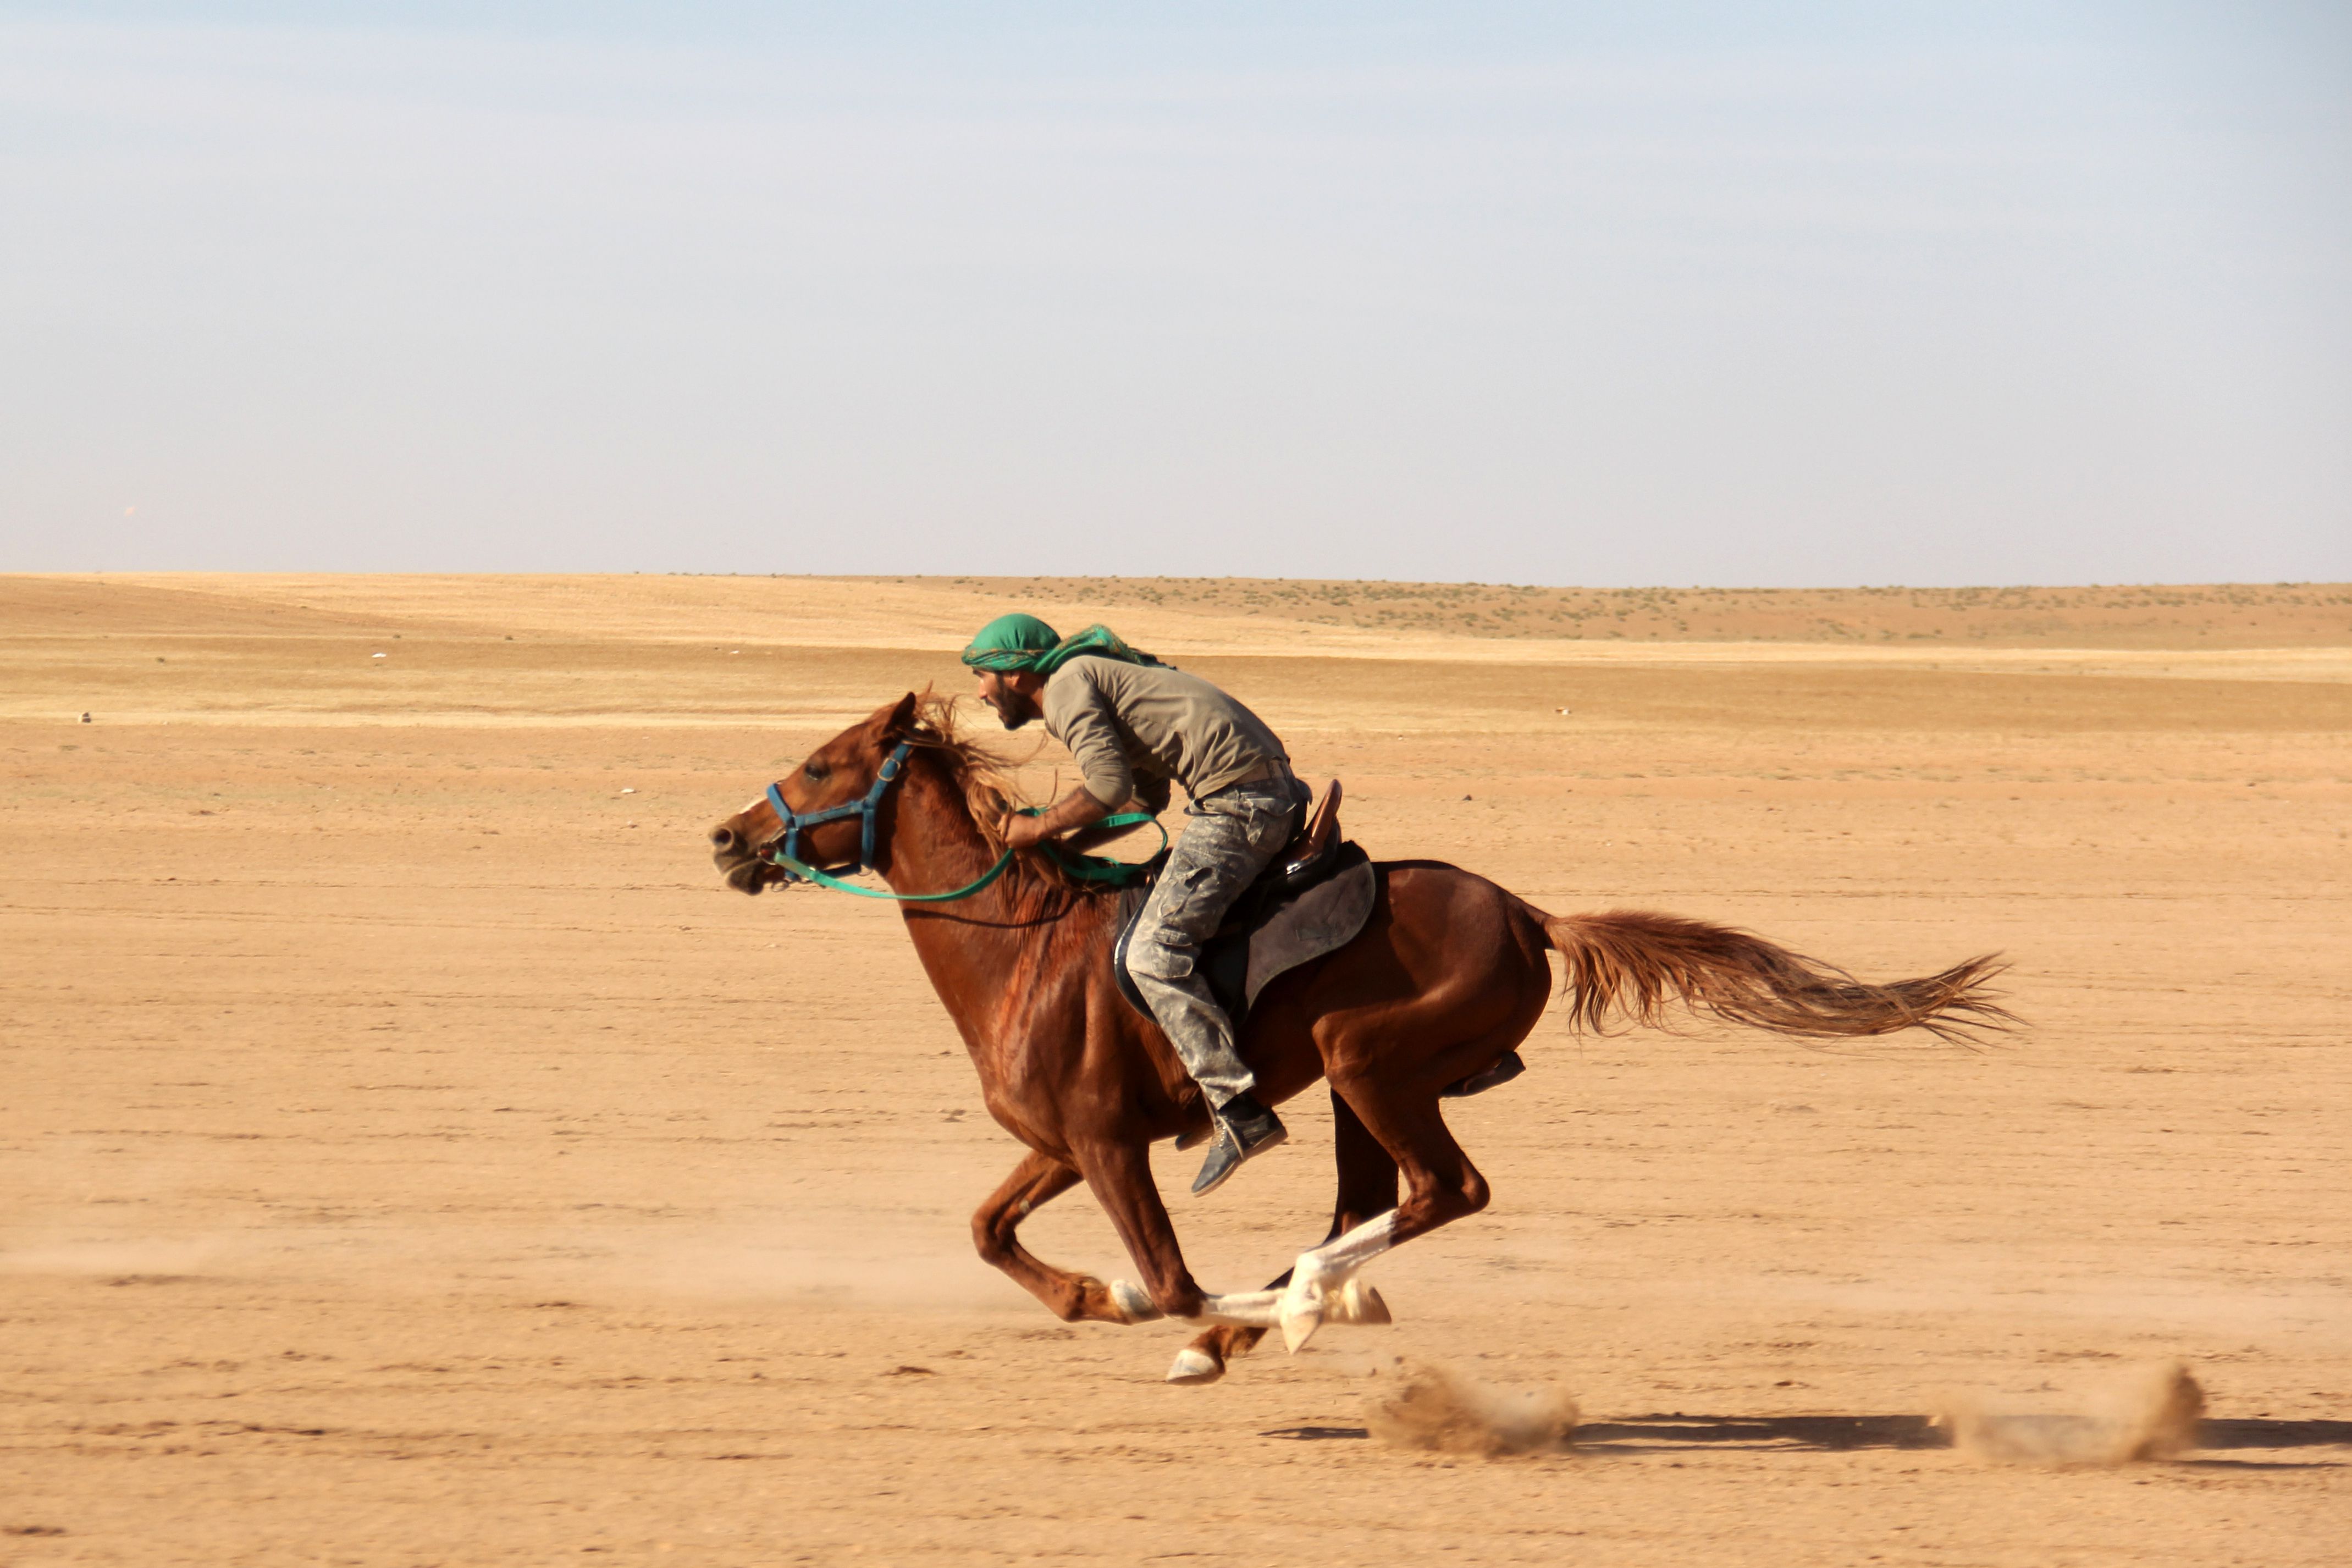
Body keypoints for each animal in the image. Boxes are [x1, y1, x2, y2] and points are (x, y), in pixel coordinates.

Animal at [705, 691, 2013, 1382]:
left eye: (820, 762)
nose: (727, 838)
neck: (1020, 948)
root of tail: (1528, 913)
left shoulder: (1110, 1146)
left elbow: (1172, 1281)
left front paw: (1216, 1312)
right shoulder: (1059, 1143)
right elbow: (990, 1232)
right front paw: (1096, 1296)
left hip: (1369, 1064)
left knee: (1444, 1190)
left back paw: (1299, 1300)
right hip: (1357, 1086)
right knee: (1370, 1199)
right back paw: (1296, 1300)